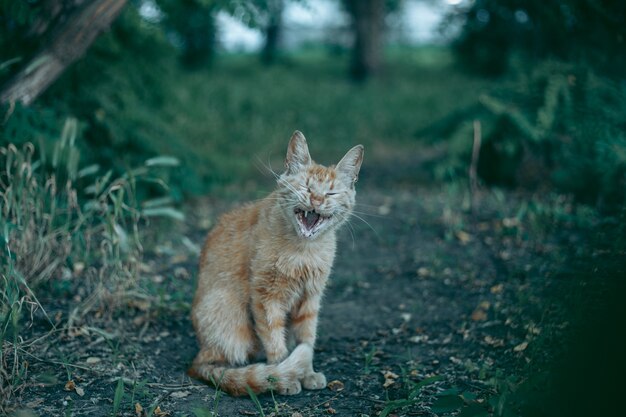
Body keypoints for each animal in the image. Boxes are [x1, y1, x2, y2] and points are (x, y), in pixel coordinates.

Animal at [188, 132, 364, 394]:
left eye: (331, 194)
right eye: (306, 187)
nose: (316, 200)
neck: (304, 251)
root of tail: (198, 357)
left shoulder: (310, 299)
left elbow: (306, 339)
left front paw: (307, 373)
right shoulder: (266, 298)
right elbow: (274, 341)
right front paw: (282, 376)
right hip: (227, 313)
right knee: (220, 364)